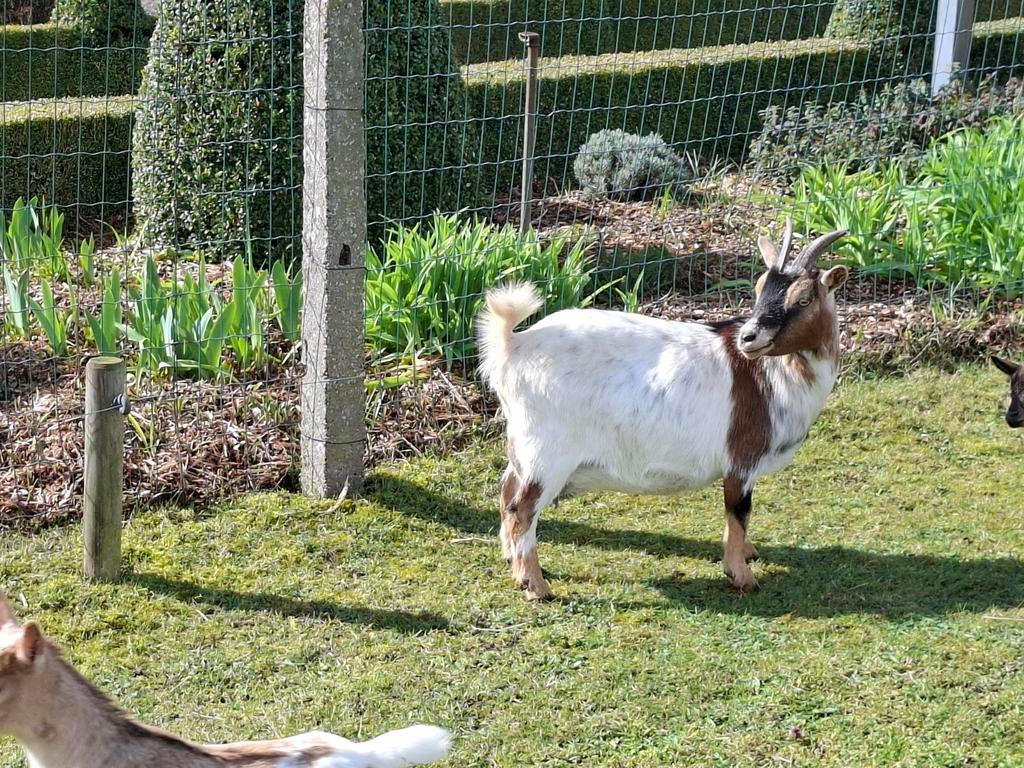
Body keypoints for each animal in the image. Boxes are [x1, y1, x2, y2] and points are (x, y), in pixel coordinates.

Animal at [477, 220, 848, 599]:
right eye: (760, 288)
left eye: (803, 298)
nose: (748, 337)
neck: (772, 374)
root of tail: (514, 345)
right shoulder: (741, 460)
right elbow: (738, 512)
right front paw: (741, 575)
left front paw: (748, 553)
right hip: (549, 454)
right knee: (521, 509)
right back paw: (536, 586)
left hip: (523, 447)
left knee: (506, 493)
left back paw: (513, 562)